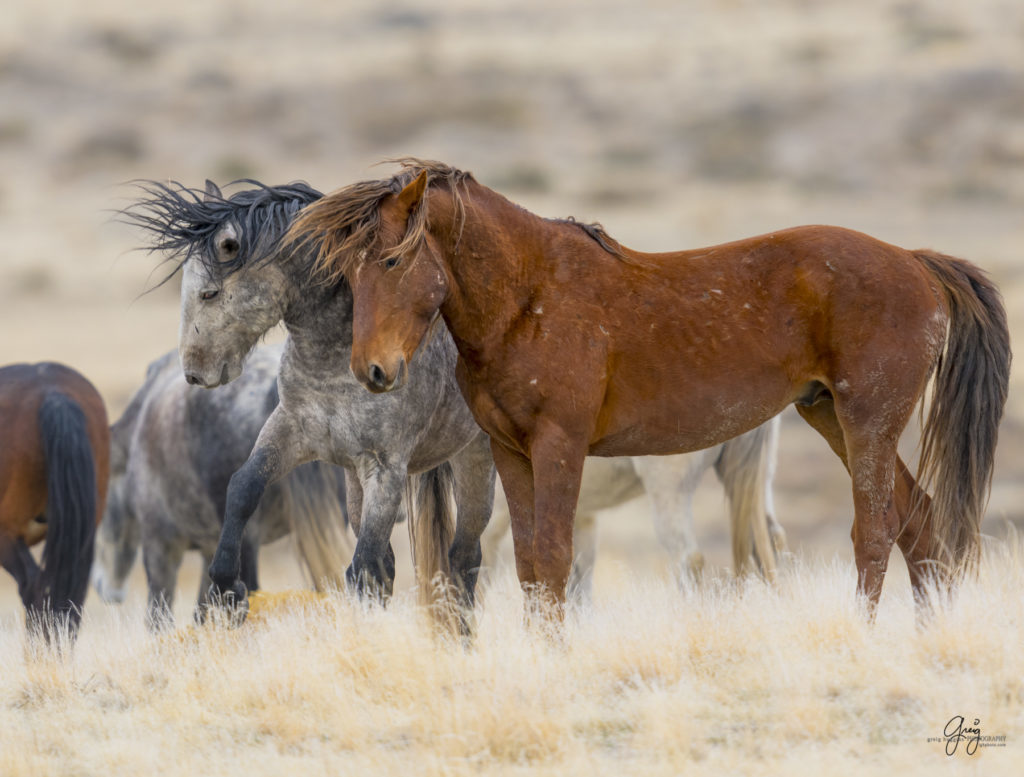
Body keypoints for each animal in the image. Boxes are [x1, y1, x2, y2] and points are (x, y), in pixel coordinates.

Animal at [96, 346, 352, 626]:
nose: (105, 590)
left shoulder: (160, 547)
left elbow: (158, 619)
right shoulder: (208, 550)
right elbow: (201, 612)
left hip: (245, 539)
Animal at [123, 179, 495, 622]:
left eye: (210, 293)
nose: (195, 372)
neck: (336, 355)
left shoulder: (386, 467)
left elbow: (364, 565)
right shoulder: (291, 430)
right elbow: (243, 487)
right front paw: (227, 584)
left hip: (474, 463)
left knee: (463, 559)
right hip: (354, 482)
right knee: (393, 565)